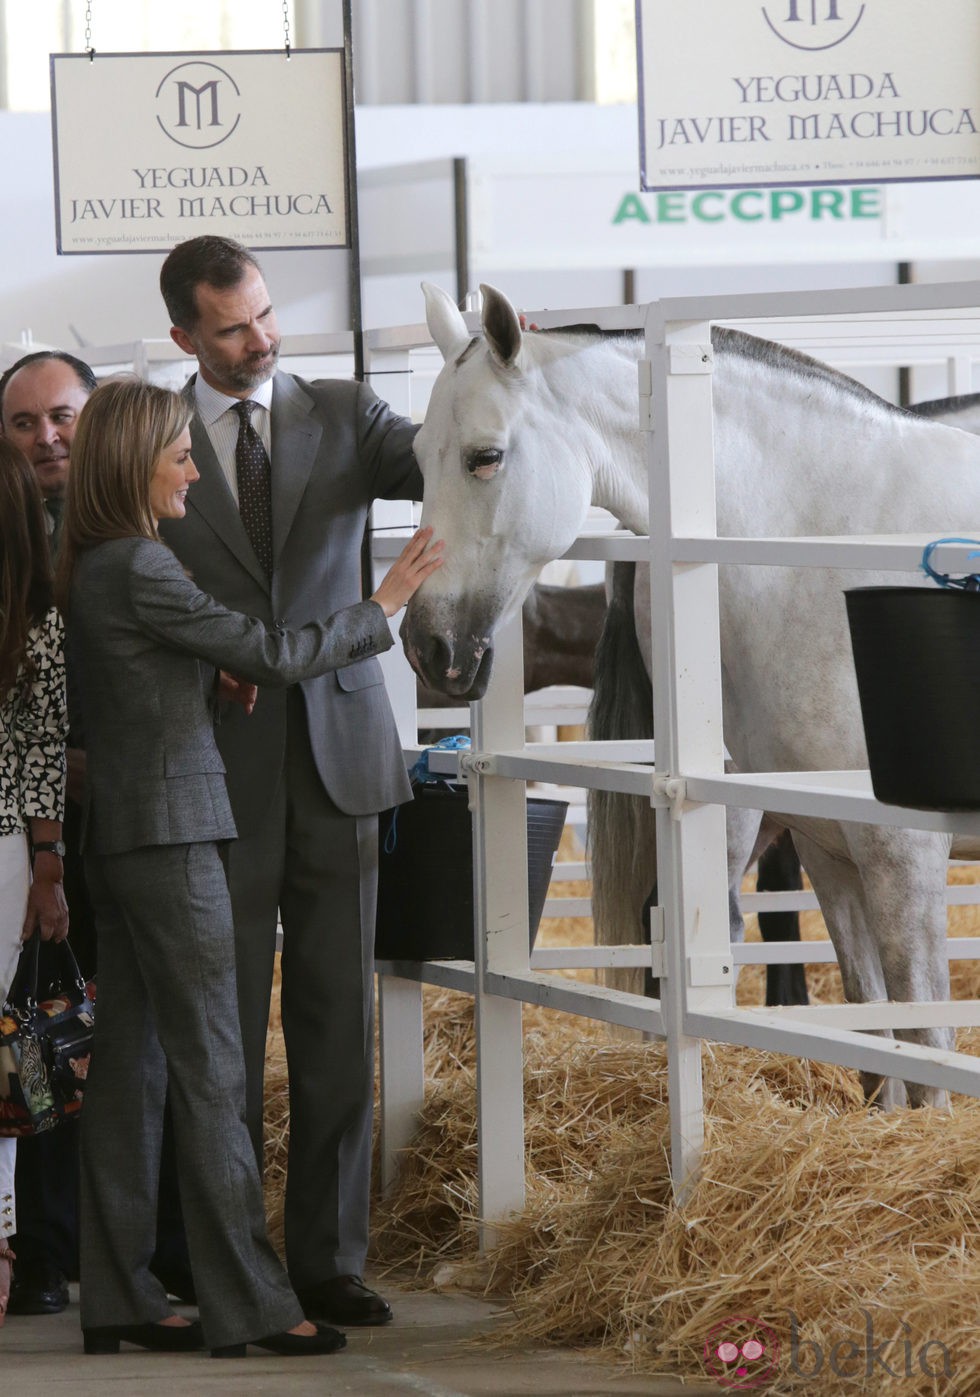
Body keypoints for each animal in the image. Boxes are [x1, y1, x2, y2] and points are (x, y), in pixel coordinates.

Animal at [402, 286, 980, 1112]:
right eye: (419, 457)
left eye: (486, 456)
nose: (427, 645)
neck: (816, 546)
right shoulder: (829, 845)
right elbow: (878, 1048)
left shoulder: (902, 849)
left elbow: (927, 1049)